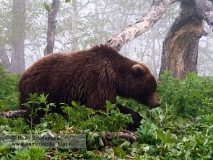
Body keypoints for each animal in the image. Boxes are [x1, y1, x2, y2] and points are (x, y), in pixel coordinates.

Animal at [19, 43, 161, 130]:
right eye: (152, 88)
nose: (157, 103)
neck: (116, 76)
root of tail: (23, 75)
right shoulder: (101, 79)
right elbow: (102, 106)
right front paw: (136, 118)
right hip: (40, 90)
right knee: (36, 113)